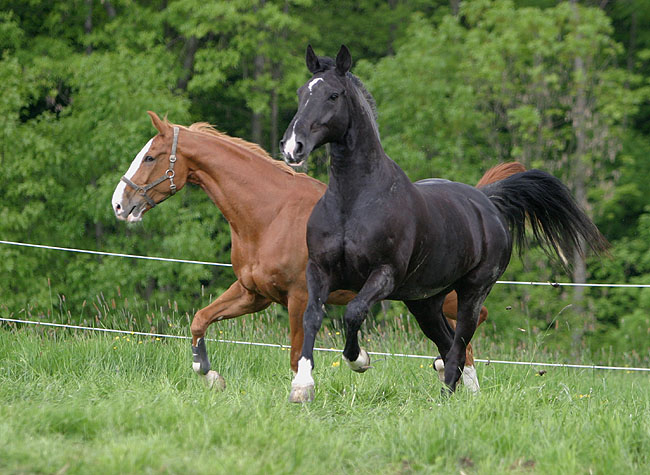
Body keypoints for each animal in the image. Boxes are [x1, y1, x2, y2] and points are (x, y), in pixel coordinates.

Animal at [112, 110, 520, 390]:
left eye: (150, 157)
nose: (119, 204)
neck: (271, 213)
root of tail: (478, 206)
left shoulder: (299, 297)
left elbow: (297, 356)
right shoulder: (252, 293)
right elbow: (200, 319)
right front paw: (208, 373)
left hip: (444, 294)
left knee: (469, 330)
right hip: (421, 298)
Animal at [280, 44, 608, 404]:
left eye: (333, 95)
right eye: (301, 93)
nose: (293, 147)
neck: (353, 201)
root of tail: (486, 202)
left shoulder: (384, 274)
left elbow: (354, 312)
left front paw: (360, 360)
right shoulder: (319, 269)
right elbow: (312, 316)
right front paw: (302, 387)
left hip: (473, 291)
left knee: (459, 344)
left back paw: (447, 396)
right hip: (425, 301)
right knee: (448, 343)